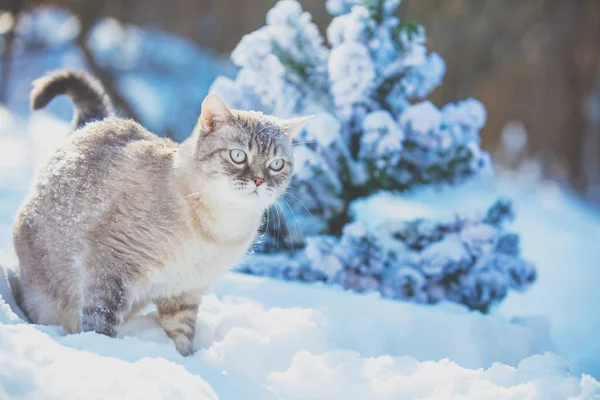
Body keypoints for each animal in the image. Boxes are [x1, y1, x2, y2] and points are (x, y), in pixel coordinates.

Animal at [12, 70, 312, 354]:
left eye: (276, 164)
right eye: (238, 156)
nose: (259, 181)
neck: (218, 227)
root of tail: (95, 122)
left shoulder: (184, 292)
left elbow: (181, 336)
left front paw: (184, 361)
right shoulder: (112, 264)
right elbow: (101, 319)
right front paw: (102, 348)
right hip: (48, 299)